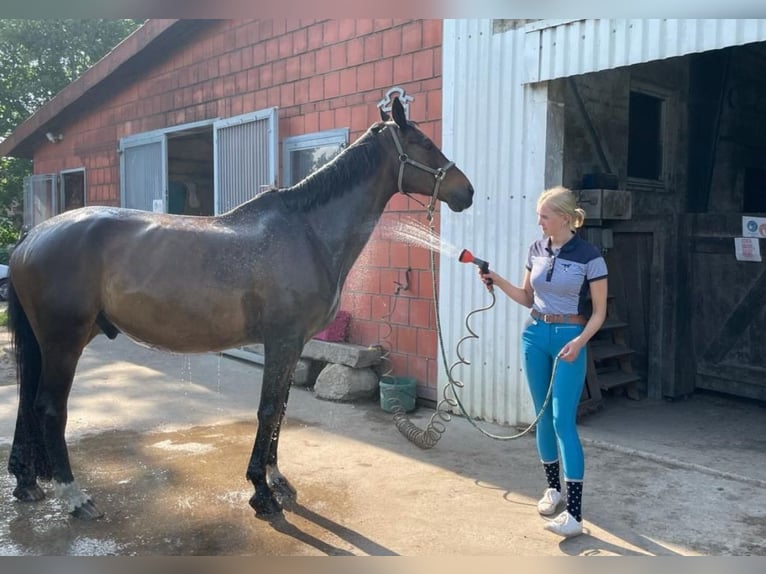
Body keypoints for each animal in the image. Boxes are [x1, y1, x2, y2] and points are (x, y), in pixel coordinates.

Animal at [4, 98, 474, 520]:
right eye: (424, 143)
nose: (466, 191)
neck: (307, 232)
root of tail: (31, 238)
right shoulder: (281, 342)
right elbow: (267, 410)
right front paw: (261, 494)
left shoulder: (292, 345)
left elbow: (280, 409)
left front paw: (278, 481)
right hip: (64, 342)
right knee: (50, 408)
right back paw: (75, 497)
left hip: (47, 343)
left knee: (28, 403)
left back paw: (27, 484)